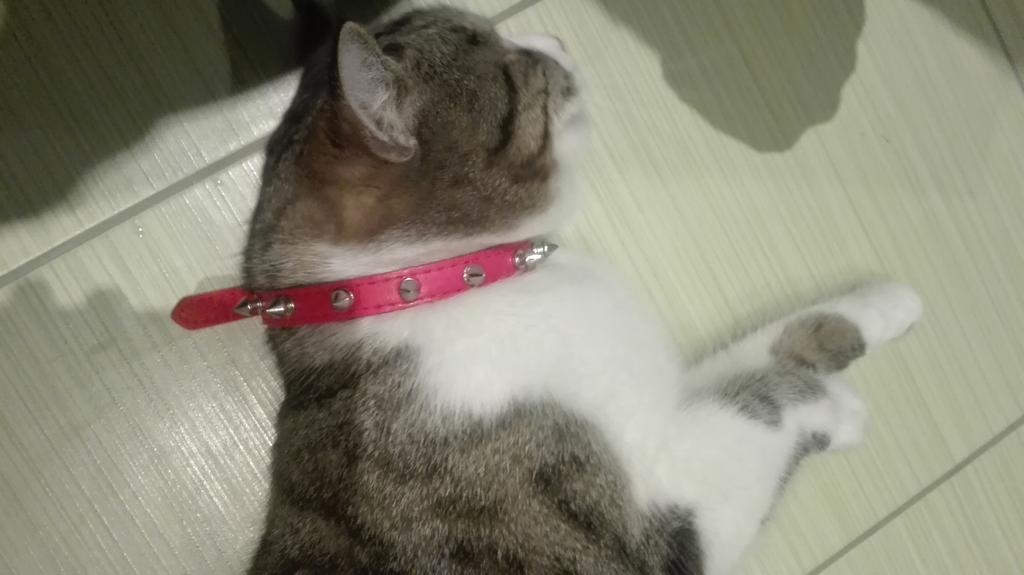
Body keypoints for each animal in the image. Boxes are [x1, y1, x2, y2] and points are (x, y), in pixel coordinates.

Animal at [242, 7, 922, 574]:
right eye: (516, 63)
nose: (556, 37)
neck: (425, 281)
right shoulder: (671, 522)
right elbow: (760, 400)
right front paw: (841, 410)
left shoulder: (658, 395)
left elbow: (757, 353)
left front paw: (887, 306)